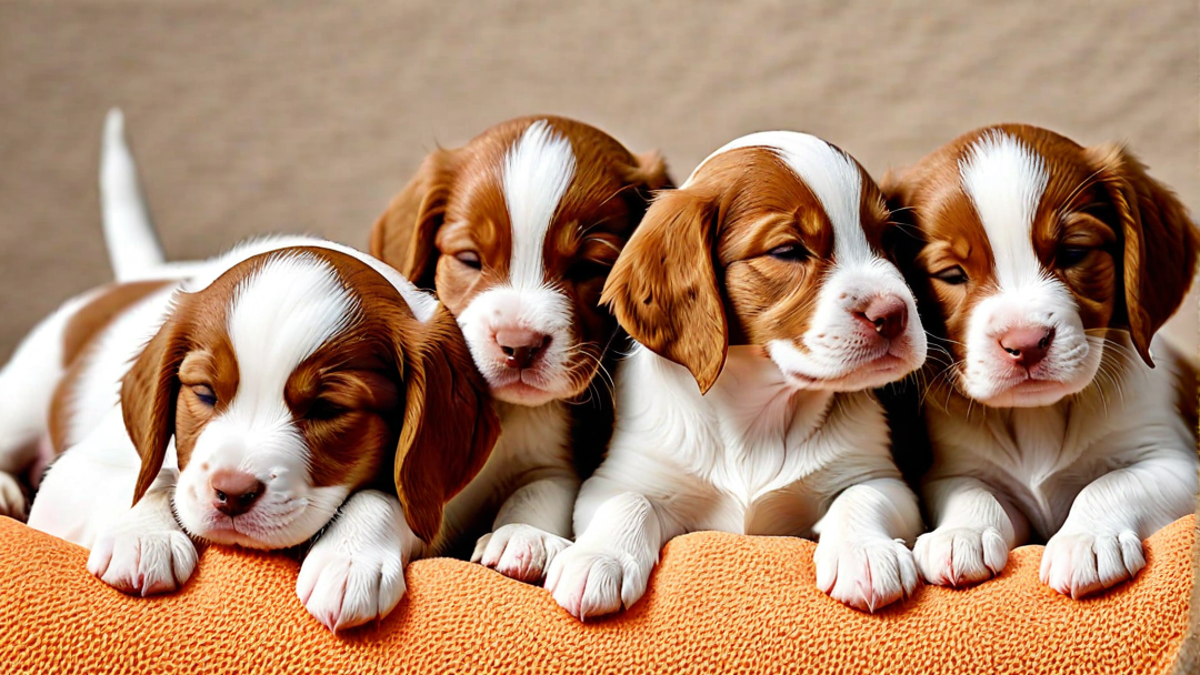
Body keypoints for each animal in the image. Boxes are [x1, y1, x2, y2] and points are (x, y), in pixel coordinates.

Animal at [0, 234, 496, 629]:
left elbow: (392, 496)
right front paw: (142, 535)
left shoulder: (436, 501)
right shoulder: (73, 471)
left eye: (326, 408)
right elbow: (152, 476)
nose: (232, 494)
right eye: (204, 393)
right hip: (22, 400)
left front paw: (351, 557)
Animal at [369, 115, 672, 578]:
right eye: (469, 258)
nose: (519, 345)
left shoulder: (557, 464)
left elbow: (539, 488)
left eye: (590, 267)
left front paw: (522, 535)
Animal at [544, 128, 926, 619]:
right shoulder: (618, 478)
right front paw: (597, 559)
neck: (757, 410)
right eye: (787, 251)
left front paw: (865, 553)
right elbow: (626, 500)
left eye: (886, 239)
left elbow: (861, 495)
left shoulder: (880, 476)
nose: (894, 314)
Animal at [883, 123, 1200, 595]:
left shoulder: (1173, 460)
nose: (1027, 342)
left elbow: (1112, 483)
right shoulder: (953, 469)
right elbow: (971, 492)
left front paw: (1087, 538)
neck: (1039, 415)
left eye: (1073, 253)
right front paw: (960, 533)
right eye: (952, 275)